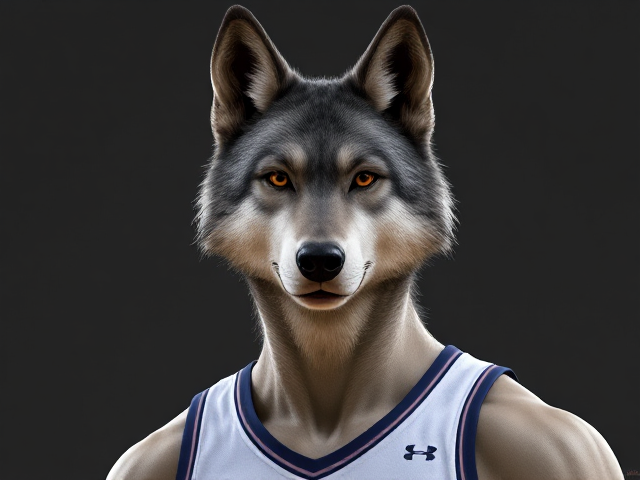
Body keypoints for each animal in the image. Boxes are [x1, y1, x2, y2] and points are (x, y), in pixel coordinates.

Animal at [108, 5, 623, 480]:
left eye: (364, 178)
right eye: (278, 178)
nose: (319, 260)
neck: (325, 412)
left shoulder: (560, 446)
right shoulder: (141, 460)